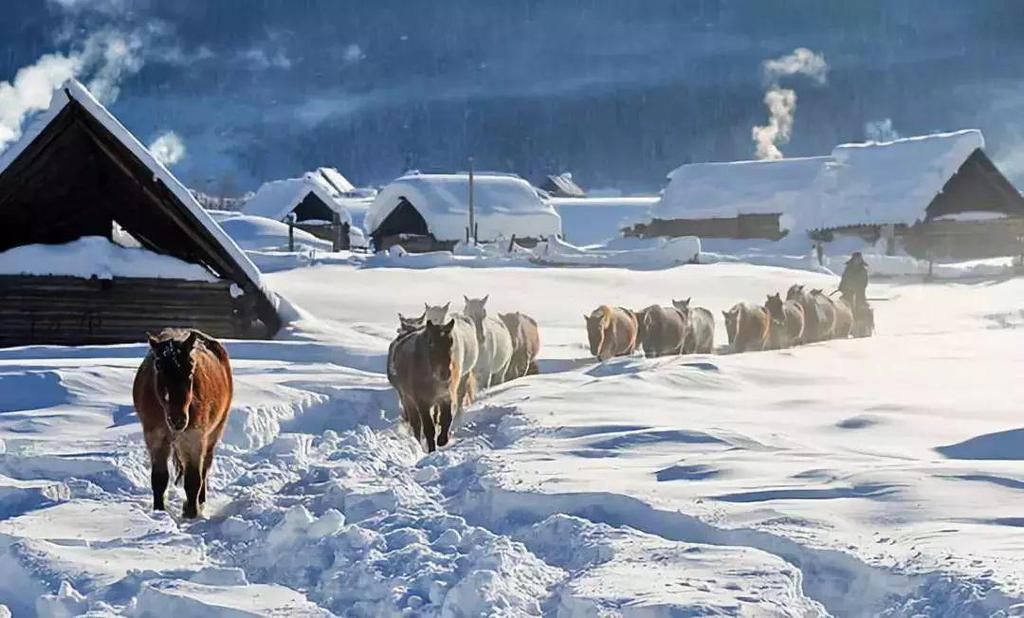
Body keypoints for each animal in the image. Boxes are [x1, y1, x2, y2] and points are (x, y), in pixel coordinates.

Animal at [133, 331, 233, 519]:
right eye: (158, 366)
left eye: (191, 368)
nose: (178, 419)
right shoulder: (155, 439)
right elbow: (159, 479)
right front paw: (159, 511)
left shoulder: (193, 438)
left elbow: (193, 479)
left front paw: (191, 513)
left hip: (213, 433)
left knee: (205, 468)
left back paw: (201, 502)